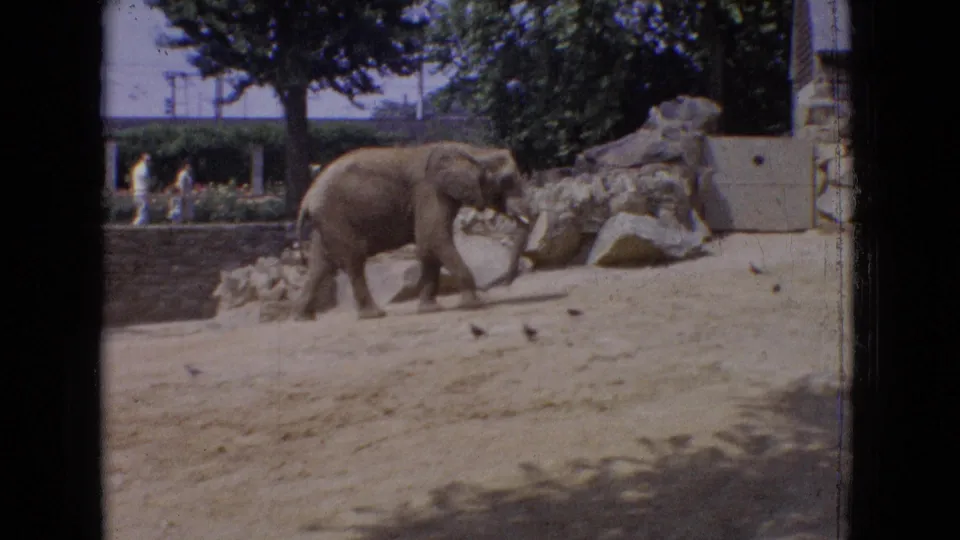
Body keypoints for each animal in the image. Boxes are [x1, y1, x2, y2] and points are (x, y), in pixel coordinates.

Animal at [291, 141, 533, 321]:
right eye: (507, 181)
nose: (507, 285)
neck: (473, 151)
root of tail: (307, 200)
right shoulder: (429, 190)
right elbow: (434, 238)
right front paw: (475, 304)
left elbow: (428, 246)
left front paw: (430, 309)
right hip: (336, 216)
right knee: (354, 259)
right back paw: (374, 315)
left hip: (326, 221)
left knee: (320, 264)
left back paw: (303, 317)